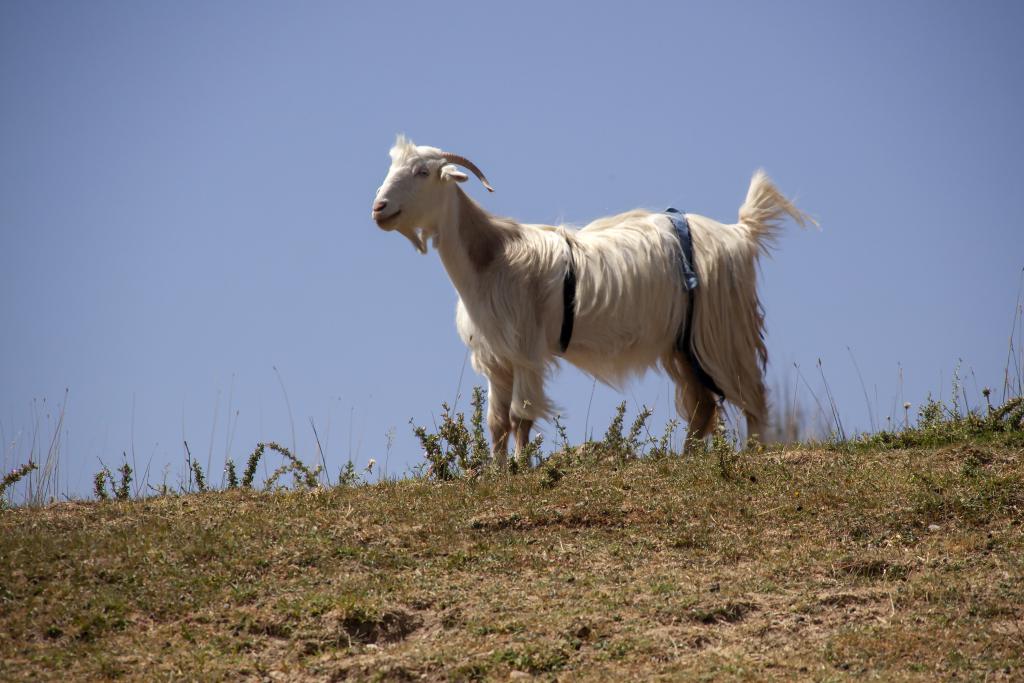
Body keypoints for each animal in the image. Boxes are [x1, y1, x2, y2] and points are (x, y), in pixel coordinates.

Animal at [372, 137, 811, 471]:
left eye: (422, 172)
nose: (379, 208)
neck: (493, 255)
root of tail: (741, 233)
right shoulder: (497, 359)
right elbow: (496, 423)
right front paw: (496, 470)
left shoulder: (526, 351)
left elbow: (519, 417)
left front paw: (520, 467)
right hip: (684, 345)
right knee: (704, 406)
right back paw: (686, 458)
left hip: (721, 333)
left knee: (753, 396)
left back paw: (753, 452)